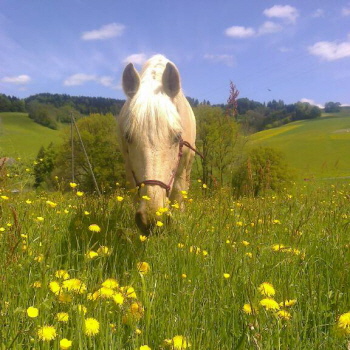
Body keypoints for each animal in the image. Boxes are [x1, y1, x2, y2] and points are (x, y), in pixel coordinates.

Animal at [117, 54, 200, 234]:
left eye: (177, 137)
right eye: (128, 137)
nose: (152, 218)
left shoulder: (181, 170)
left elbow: (178, 196)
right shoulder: (129, 169)